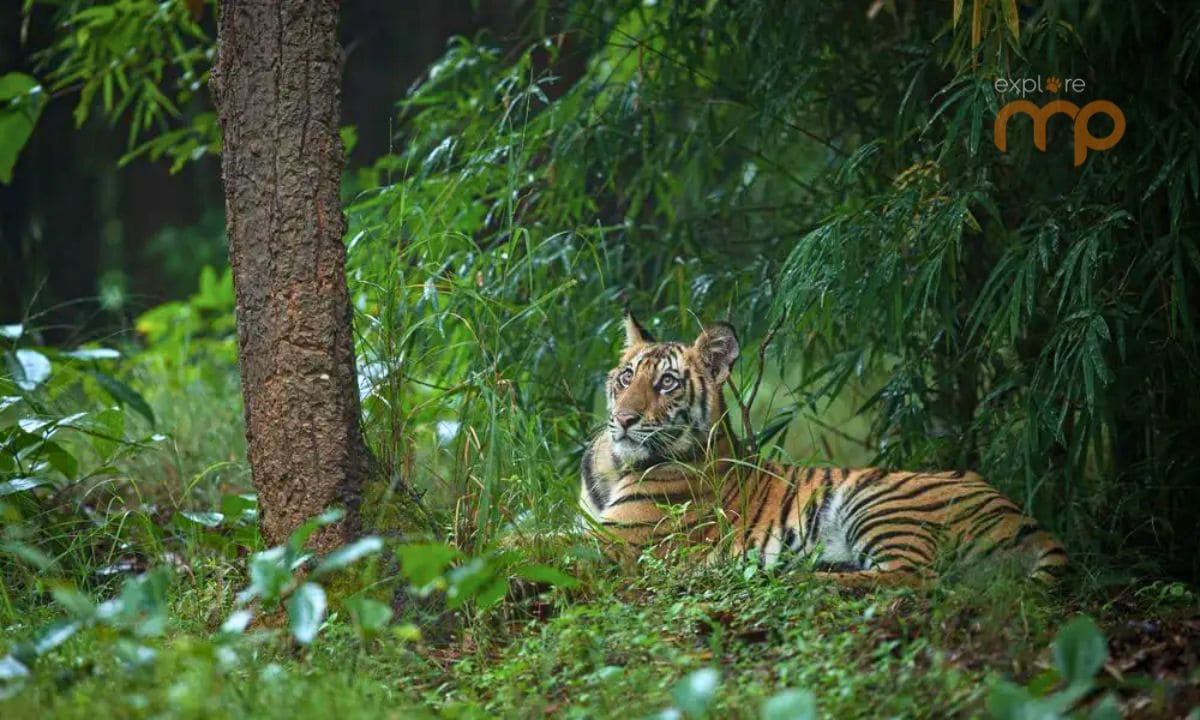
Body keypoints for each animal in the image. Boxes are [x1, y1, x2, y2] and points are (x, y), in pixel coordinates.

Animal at [578, 312, 1067, 585]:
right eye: (627, 377)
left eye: (667, 383)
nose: (625, 419)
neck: (614, 465)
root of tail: (1024, 515)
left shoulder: (613, 540)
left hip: (880, 504)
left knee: (913, 578)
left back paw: (803, 579)